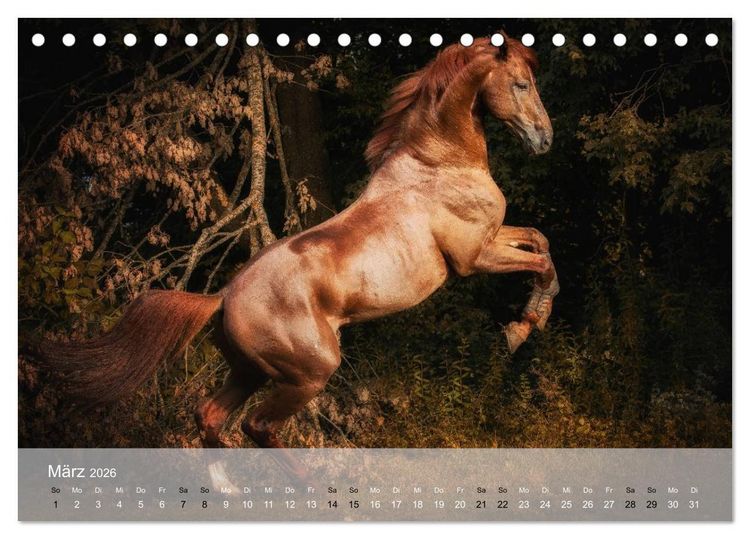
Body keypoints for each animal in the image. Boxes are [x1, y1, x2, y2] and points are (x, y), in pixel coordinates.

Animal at [37, 35, 559, 451]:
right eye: (521, 84)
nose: (545, 139)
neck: (438, 163)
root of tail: (222, 297)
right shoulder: (474, 257)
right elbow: (542, 262)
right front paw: (520, 329)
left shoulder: (494, 237)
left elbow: (541, 242)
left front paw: (527, 321)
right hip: (309, 373)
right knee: (258, 426)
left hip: (248, 372)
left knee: (211, 418)